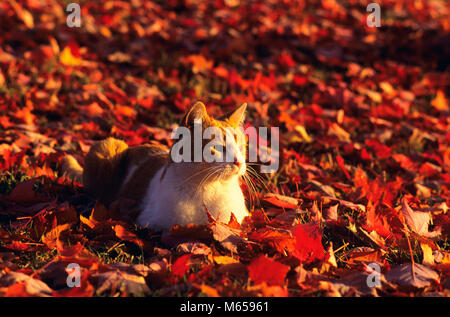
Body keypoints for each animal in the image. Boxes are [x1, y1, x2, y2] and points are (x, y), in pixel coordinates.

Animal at [61, 102, 248, 231]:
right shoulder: (151, 222)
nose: (239, 162)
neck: (210, 188)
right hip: (108, 145)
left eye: (240, 147)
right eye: (217, 148)